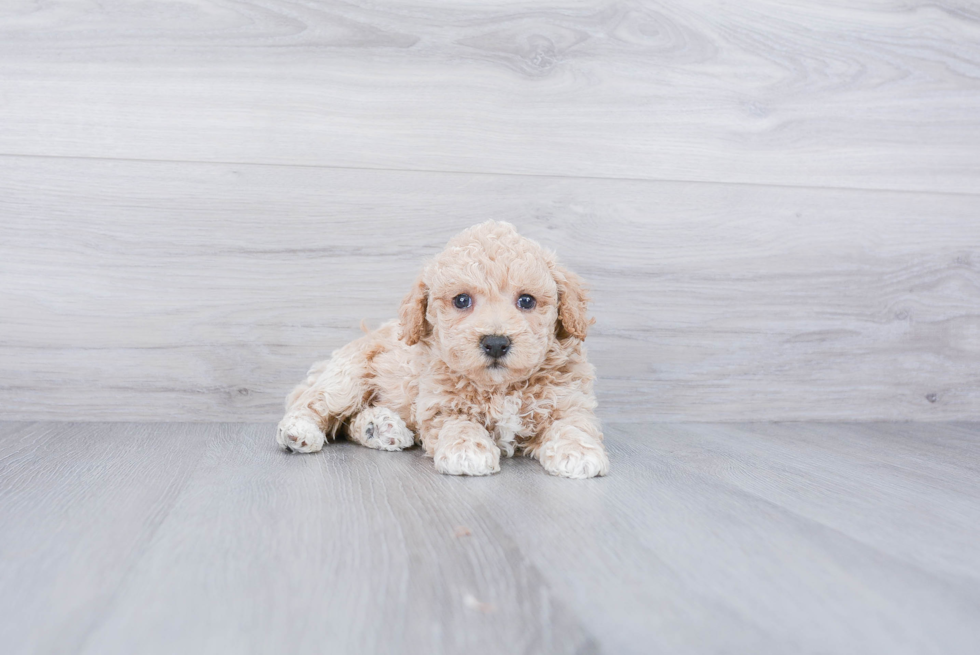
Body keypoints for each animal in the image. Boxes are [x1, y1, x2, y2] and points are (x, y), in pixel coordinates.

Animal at [276, 223, 608, 480]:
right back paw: (298, 430)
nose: (496, 342)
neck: (501, 389)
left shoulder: (569, 400)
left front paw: (578, 452)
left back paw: (379, 427)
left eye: (526, 301)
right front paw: (466, 451)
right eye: (461, 300)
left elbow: (572, 425)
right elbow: (459, 423)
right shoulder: (440, 404)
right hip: (350, 373)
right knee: (315, 401)